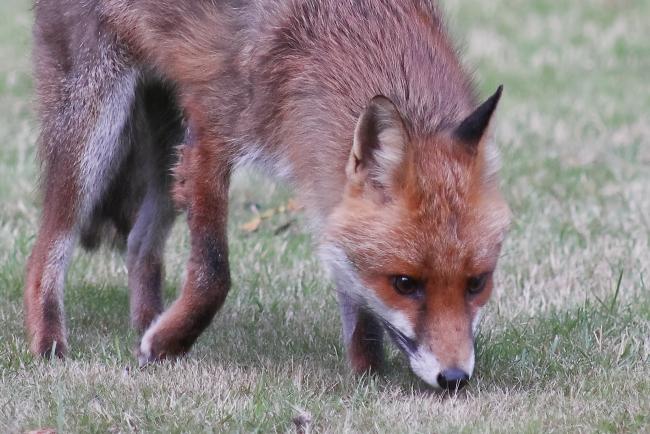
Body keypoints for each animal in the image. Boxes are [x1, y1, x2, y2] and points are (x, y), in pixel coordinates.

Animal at [26, 0, 511, 390]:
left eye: (477, 283)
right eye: (405, 284)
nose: (454, 378)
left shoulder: (322, 183)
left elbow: (353, 292)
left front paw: (367, 372)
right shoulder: (211, 134)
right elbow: (213, 274)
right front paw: (166, 346)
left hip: (167, 143)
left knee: (139, 244)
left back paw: (148, 322)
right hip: (94, 126)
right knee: (45, 249)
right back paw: (50, 344)